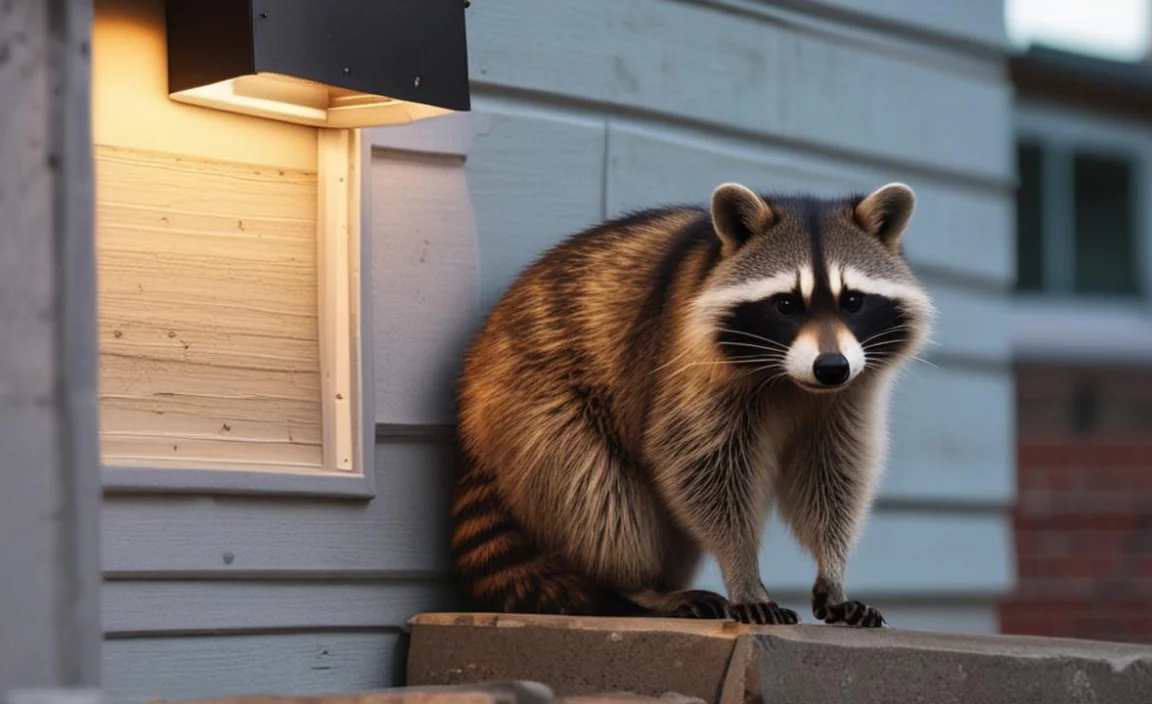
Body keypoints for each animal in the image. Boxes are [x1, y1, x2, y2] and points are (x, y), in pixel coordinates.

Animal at [450, 182, 933, 626]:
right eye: (785, 304)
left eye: (852, 301)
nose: (831, 367)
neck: (793, 381)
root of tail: (473, 410)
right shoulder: (686, 362)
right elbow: (702, 469)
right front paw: (743, 573)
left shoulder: (848, 394)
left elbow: (834, 475)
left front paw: (833, 571)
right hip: (534, 401)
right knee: (595, 494)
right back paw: (640, 587)